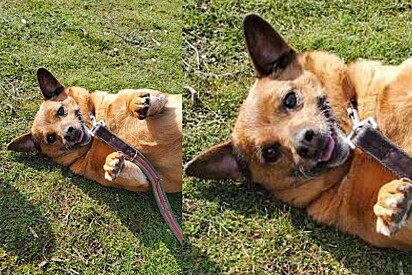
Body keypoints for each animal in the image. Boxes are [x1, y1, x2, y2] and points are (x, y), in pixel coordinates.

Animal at [7, 69, 182, 194]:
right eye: (50, 138)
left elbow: (141, 98)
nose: (69, 133)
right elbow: (126, 173)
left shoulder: (161, 98)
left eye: (61, 111)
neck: (97, 135)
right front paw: (112, 164)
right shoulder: (148, 180)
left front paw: (136, 104)